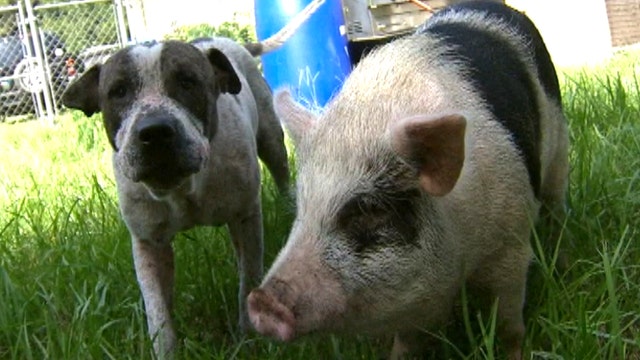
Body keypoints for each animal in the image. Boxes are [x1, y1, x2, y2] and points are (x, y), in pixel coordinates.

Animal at [60, 35, 290, 354]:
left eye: (187, 81)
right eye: (118, 91)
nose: (154, 131)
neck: (183, 189)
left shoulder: (246, 216)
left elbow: (249, 279)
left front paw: (249, 338)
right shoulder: (148, 244)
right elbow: (157, 311)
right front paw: (165, 348)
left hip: (271, 139)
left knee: (281, 173)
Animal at [246, 1, 568, 358]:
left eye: (370, 209)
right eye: (301, 207)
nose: (260, 302)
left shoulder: (510, 246)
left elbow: (510, 324)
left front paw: (514, 350)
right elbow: (407, 341)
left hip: (559, 151)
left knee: (557, 203)